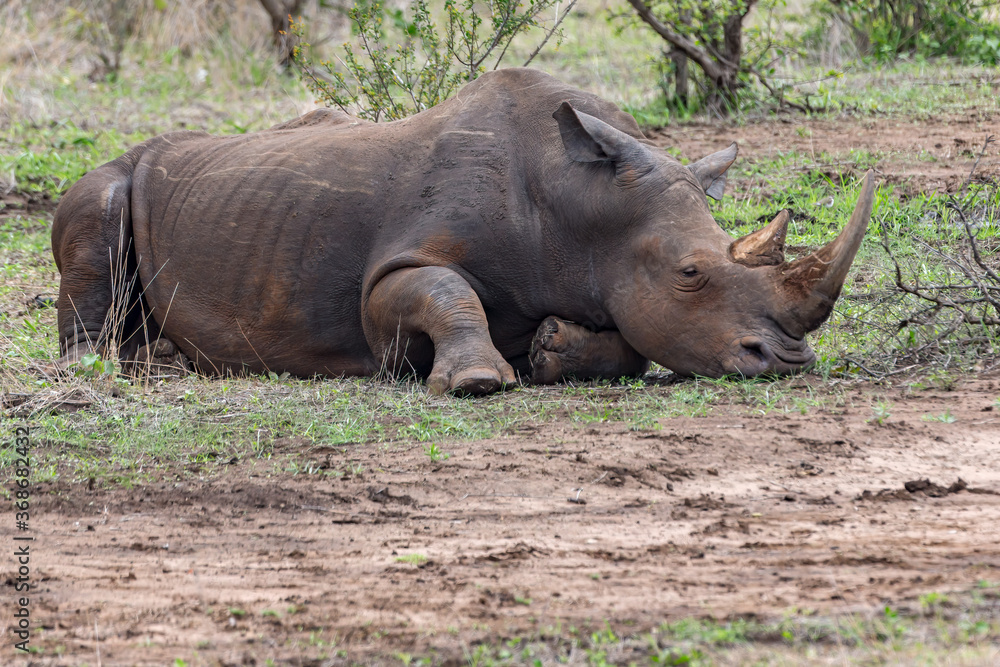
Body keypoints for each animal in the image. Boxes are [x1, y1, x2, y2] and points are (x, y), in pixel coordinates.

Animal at [50, 68, 875, 394]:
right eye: (691, 273)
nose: (787, 360)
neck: (578, 203)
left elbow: (630, 343)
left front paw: (553, 349)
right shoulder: (387, 280)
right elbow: (444, 291)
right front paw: (479, 379)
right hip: (108, 178)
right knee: (99, 214)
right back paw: (124, 366)